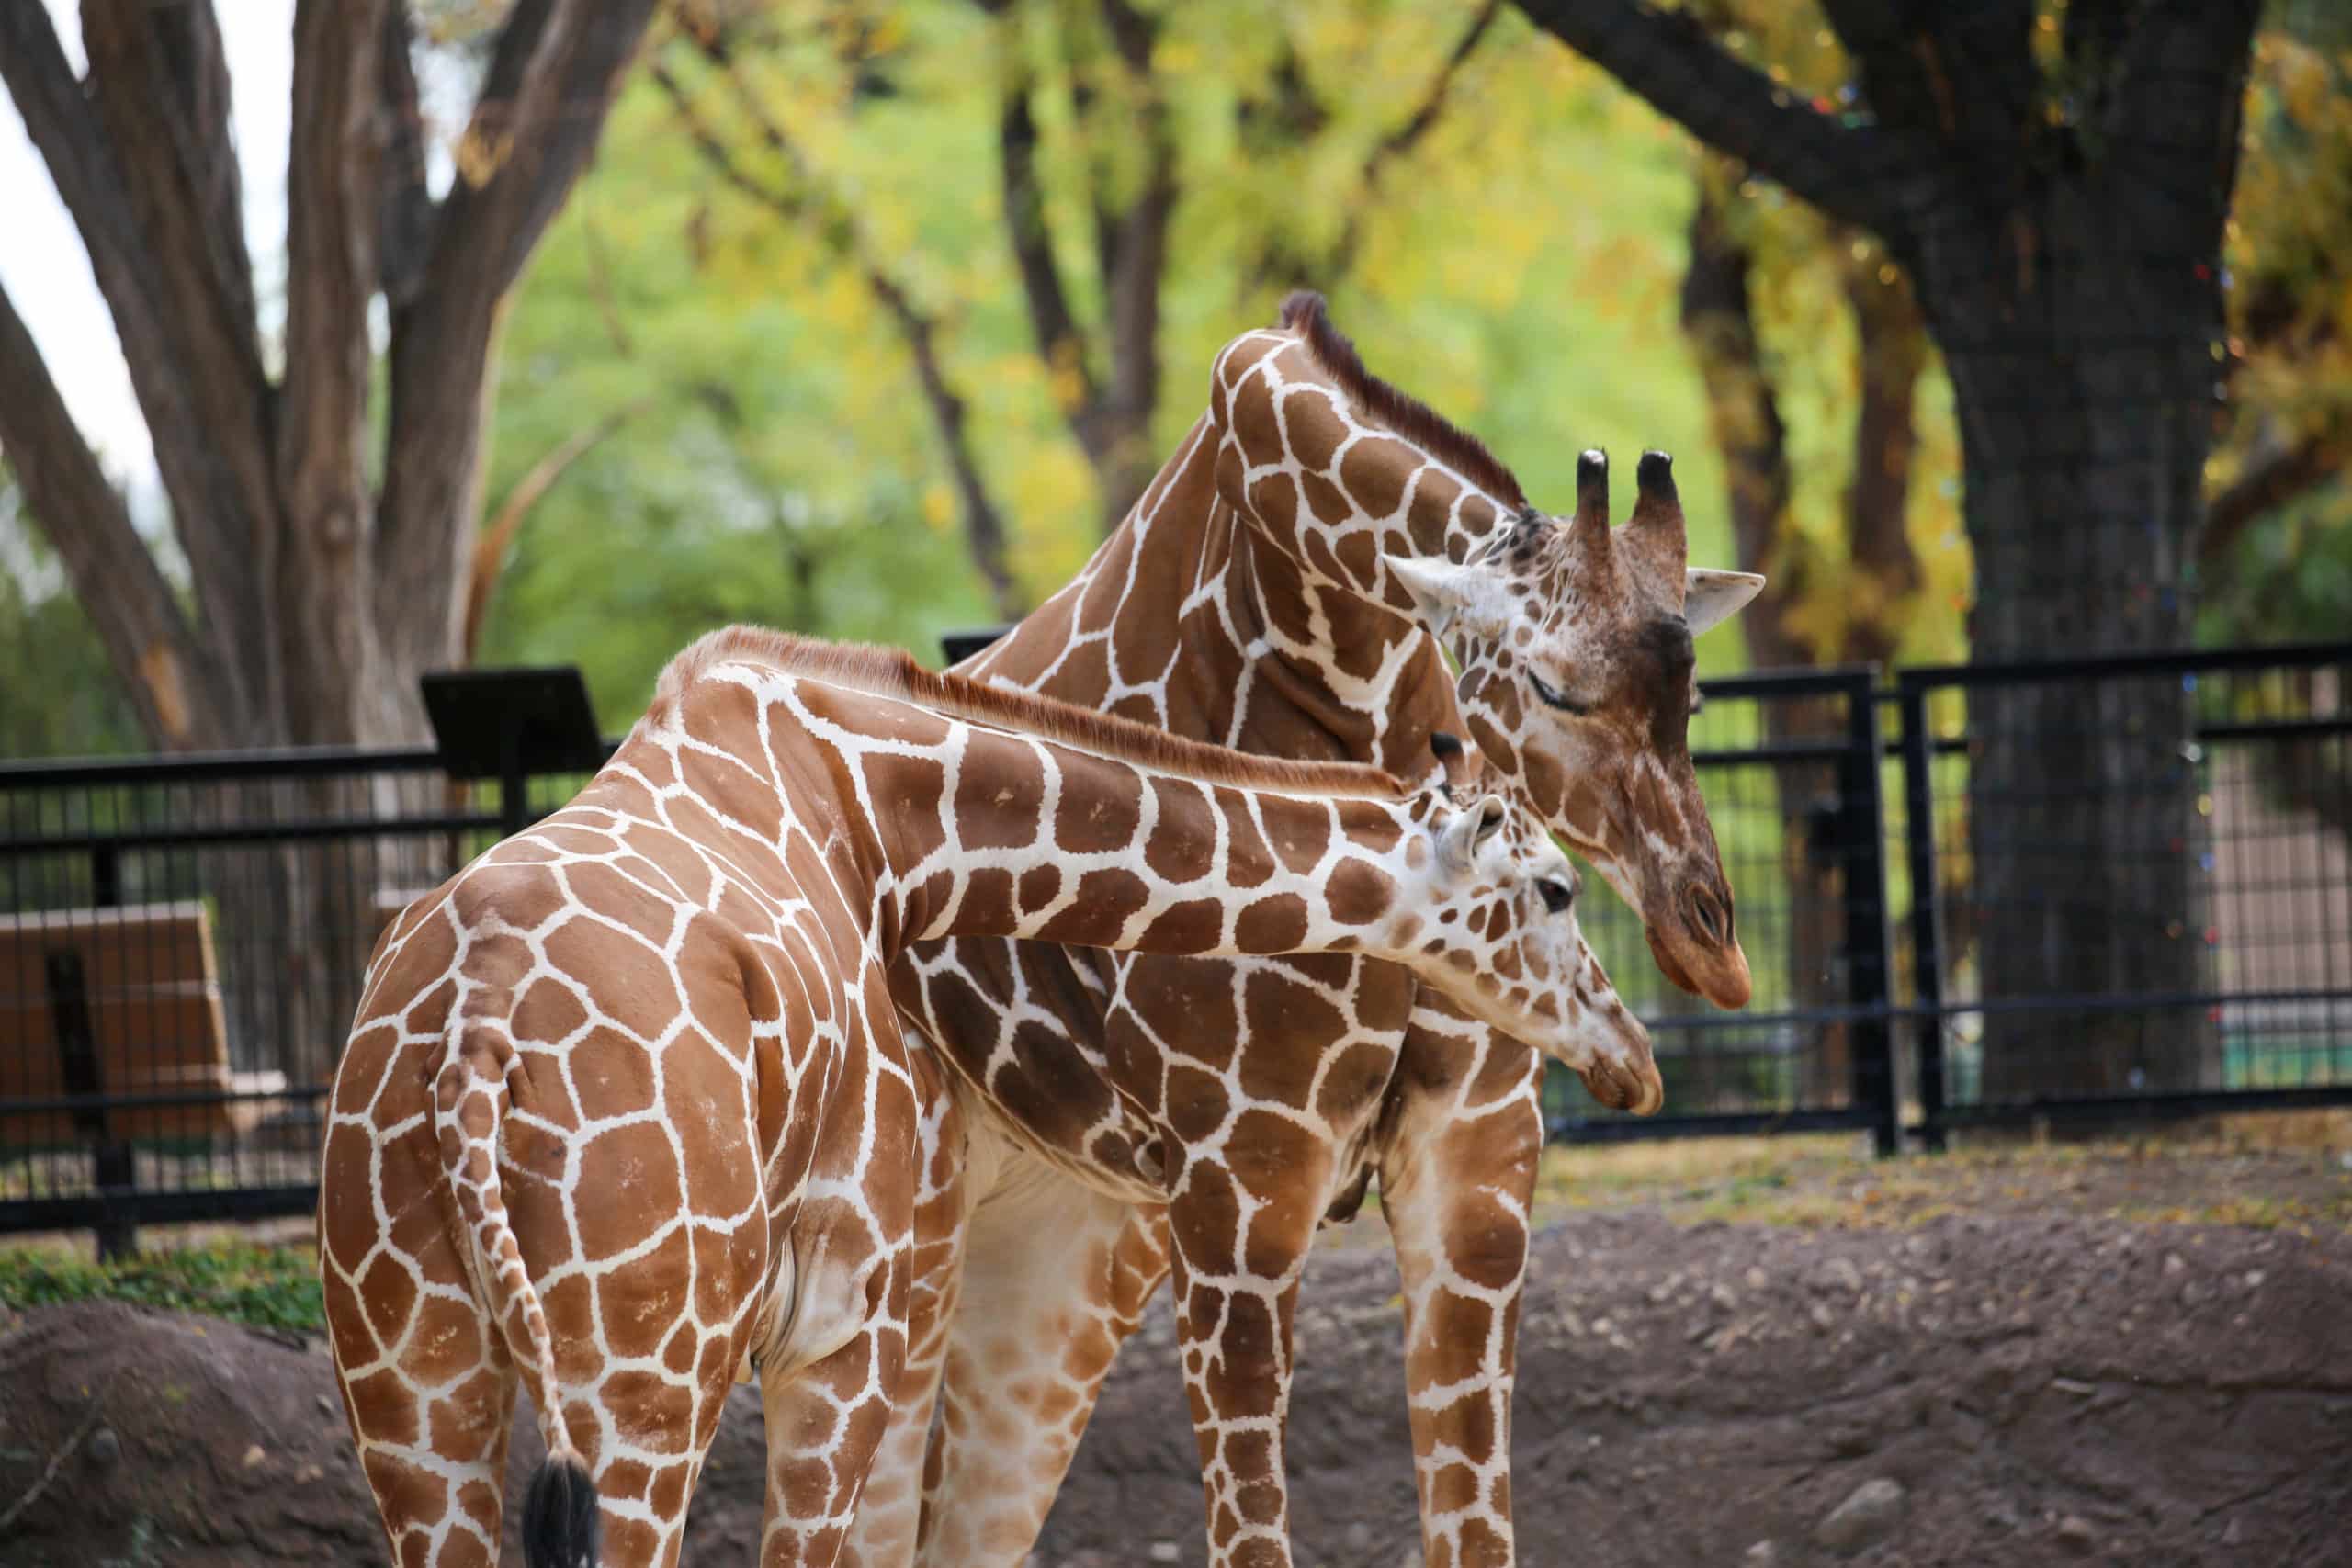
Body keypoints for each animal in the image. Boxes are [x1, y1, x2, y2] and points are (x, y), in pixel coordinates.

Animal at [318, 625, 1658, 1568]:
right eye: (1555, 887)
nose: (1633, 1054)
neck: (883, 815)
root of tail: (475, 1020)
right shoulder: (838, 1324)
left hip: (412, 1376)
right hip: (637, 1370)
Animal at [851, 292, 1764, 1568]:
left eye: (1694, 695)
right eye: (1552, 687)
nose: (1711, 944)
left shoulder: (1476, 1161)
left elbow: (1474, 1528)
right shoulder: (1241, 1181)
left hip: (1058, 1247)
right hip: (881, 1252)